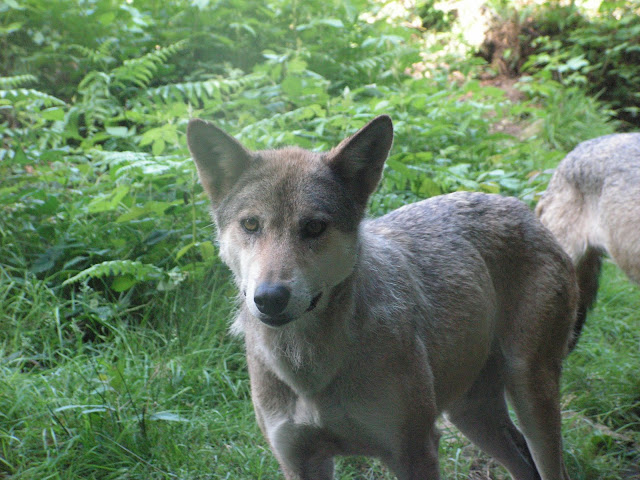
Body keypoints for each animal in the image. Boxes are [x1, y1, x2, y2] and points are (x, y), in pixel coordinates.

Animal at [188, 115, 576, 480]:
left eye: (314, 227)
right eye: (251, 225)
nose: (269, 298)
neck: (312, 373)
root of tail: (520, 206)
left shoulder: (415, 452)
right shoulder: (298, 462)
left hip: (529, 396)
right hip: (470, 414)